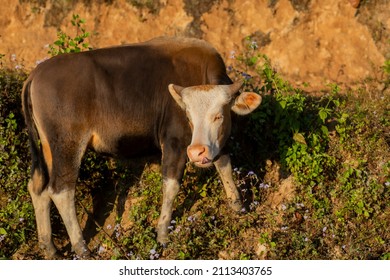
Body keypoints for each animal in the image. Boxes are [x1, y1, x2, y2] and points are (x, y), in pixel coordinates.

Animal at [20, 36, 258, 258]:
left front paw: (238, 207)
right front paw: (162, 235)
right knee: (61, 190)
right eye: (188, 116)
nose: (197, 152)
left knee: (38, 187)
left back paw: (49, 248)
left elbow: (224, 164)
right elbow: (171, 185)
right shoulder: (174, 142)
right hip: (68, 144)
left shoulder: (215, 144)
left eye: (218, 115)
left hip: (48, 148)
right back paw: (82, 247)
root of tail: (35, 75)